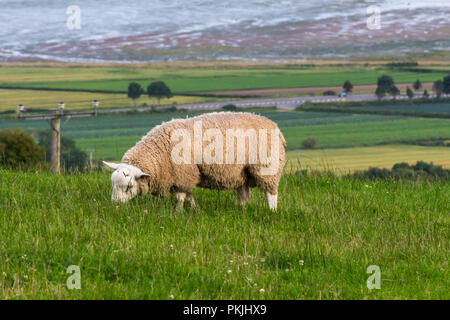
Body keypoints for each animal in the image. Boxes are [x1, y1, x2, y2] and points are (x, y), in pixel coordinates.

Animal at [103, 111, 286, 211]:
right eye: (113, 184)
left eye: (129, 187)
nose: (115, 206)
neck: (159, 151)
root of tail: (275, 126)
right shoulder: (186, 176)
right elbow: (189, 195)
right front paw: (195, 209)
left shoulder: (182, 173)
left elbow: (180, 198)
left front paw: (177, 213)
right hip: (241, 172)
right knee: (243, 195)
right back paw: (239, 210)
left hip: (267, 167)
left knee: (271, 193)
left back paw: (272, 211)